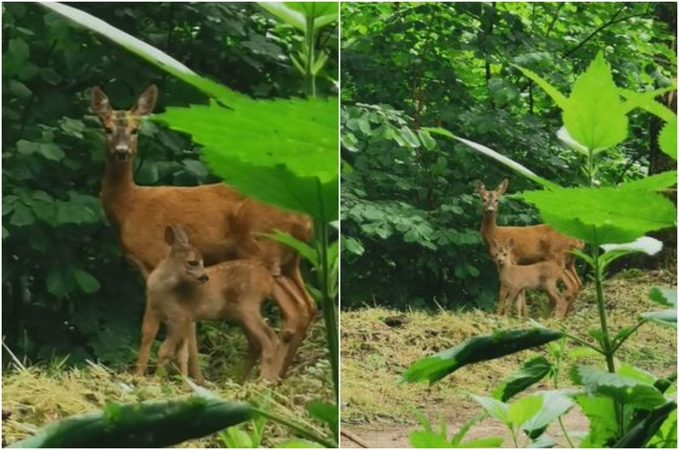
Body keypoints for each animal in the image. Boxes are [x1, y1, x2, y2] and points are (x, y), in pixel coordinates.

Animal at [135, 225, 284, 384]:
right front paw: (138, 376)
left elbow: (165, 351)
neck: (162, 290)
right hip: (240, 313)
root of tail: (268, 279)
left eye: (203, 261)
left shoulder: (180, 317)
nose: (204, 277)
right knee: (257, 343)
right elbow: (147, 340)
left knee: (269, 339)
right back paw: (243, 382)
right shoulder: (152, 311)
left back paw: (263, 382)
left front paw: (156, 381)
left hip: (248, 305)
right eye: (192, 262)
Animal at [478, 178, 584, 314]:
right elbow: (521, 292)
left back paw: (555, 315)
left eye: (497, 200)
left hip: (556, 256)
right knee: (578, 283)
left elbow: (503, 292)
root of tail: (577, 239)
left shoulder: (510, 258)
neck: (495, 234)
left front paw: (499, 315)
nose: (490, 210)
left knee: (570, 286)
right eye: (483, 199)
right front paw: (522, 315)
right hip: (570, 261)